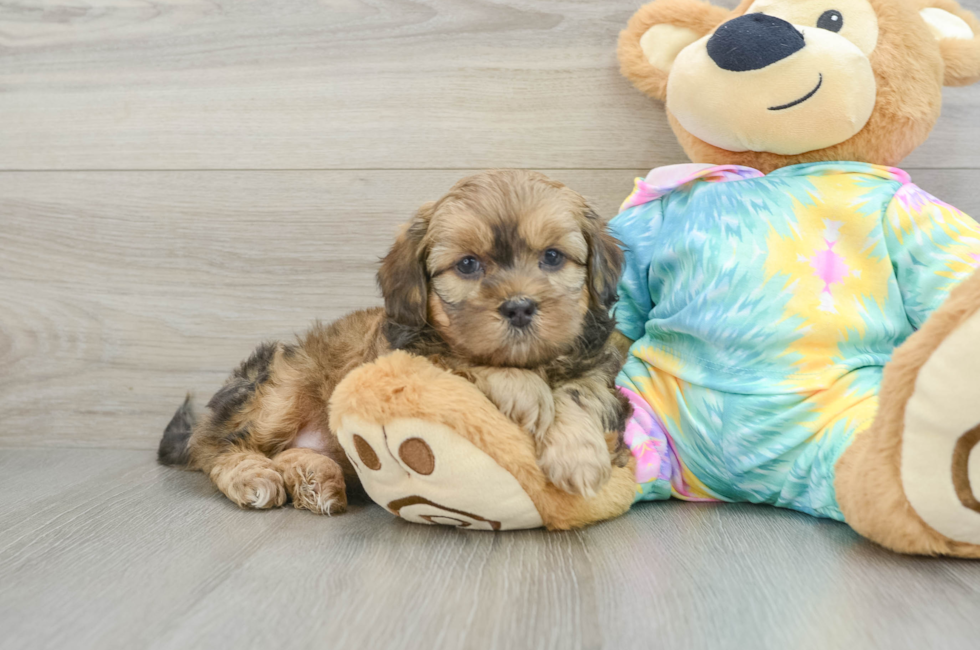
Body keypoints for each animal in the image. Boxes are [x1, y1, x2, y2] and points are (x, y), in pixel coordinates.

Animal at [159, 170, 636, 512]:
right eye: (467, 265)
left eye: (552, 257)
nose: (518, 307)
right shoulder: (409, 355)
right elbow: (459, 356)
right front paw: (524, 390)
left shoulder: (596, 371)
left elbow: (577, 393)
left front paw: (579, 457)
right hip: (279, 387)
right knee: (215, 445)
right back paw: (251, 476)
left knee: (285, 452)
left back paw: (316, 479)